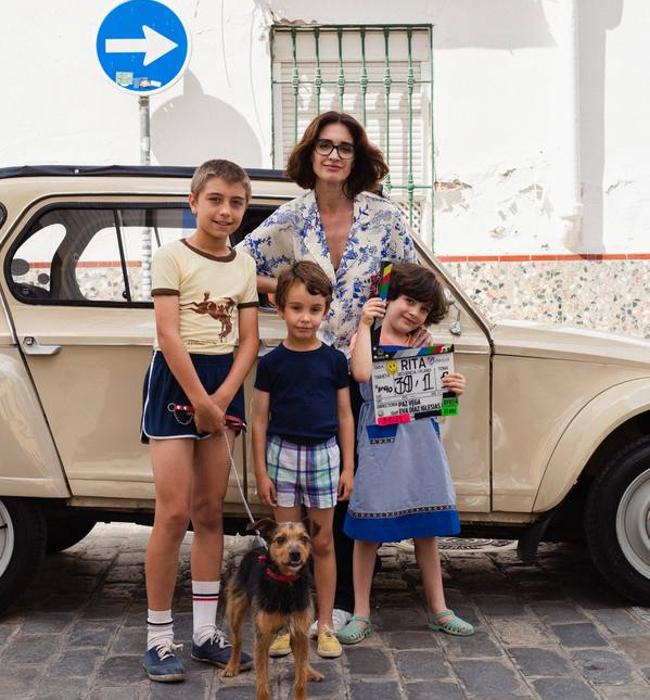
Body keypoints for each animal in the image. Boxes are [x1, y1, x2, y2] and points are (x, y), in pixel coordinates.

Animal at [221, 516, 322, 700]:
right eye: (280, 540)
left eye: (304, 539)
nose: (295, 554)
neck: (286, 584)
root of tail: (257, 547)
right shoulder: (262, 637)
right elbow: (262, 682)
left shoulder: (300, 630)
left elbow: (300, 680)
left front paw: (303, 682)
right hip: (236, 610)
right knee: (237, 640)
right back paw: (232, 666)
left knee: (301, 658)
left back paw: (310, 671)